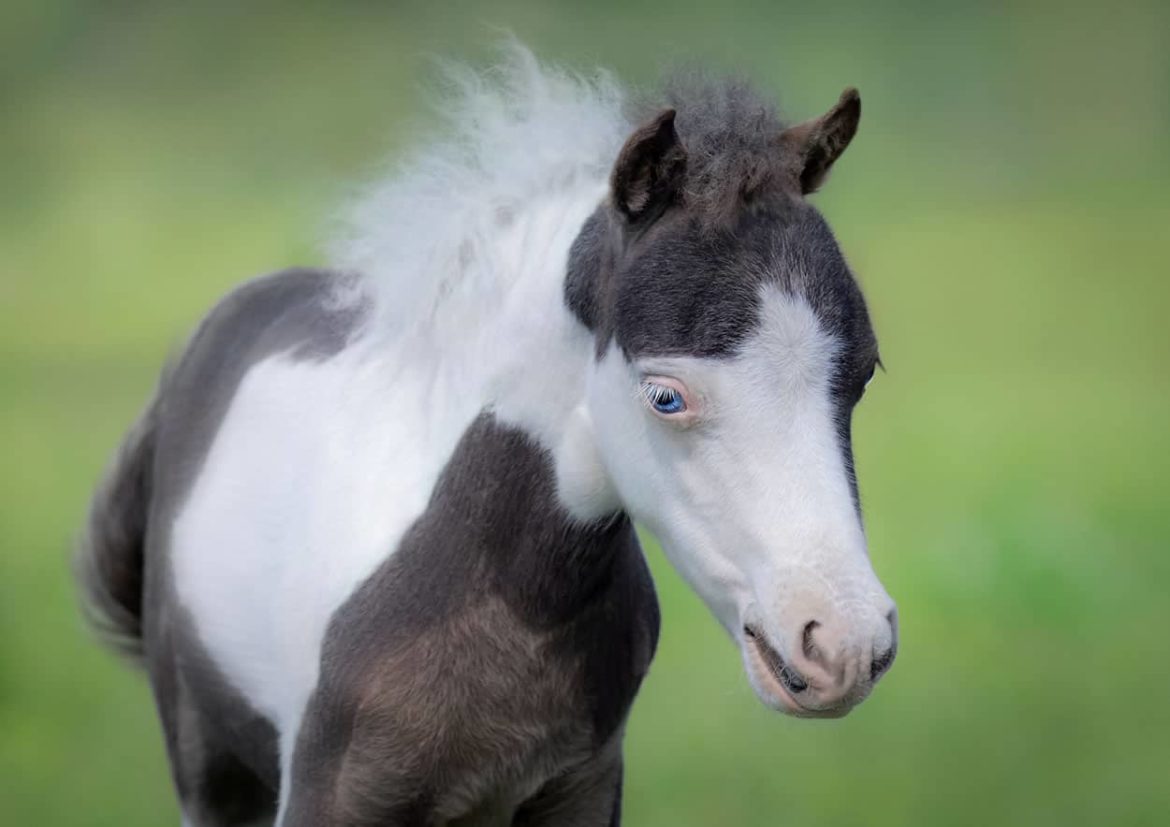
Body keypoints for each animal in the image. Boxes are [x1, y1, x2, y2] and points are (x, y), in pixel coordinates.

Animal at [77, 53, 898, 827]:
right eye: (666, 396)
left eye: (863, 372)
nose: (846, 645)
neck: (515, 596)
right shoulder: (325, 797)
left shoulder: (582, 786)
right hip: (213, 769)